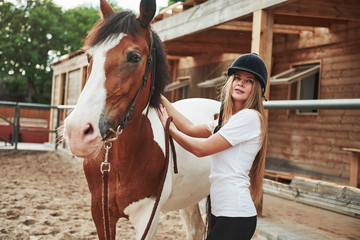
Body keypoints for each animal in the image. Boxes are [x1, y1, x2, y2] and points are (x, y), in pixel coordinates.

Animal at [63, 0, 221, 239]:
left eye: (134, 57)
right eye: (90, 57)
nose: (77, 131)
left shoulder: (147, 216)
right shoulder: (100, 212)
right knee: (195, 229)